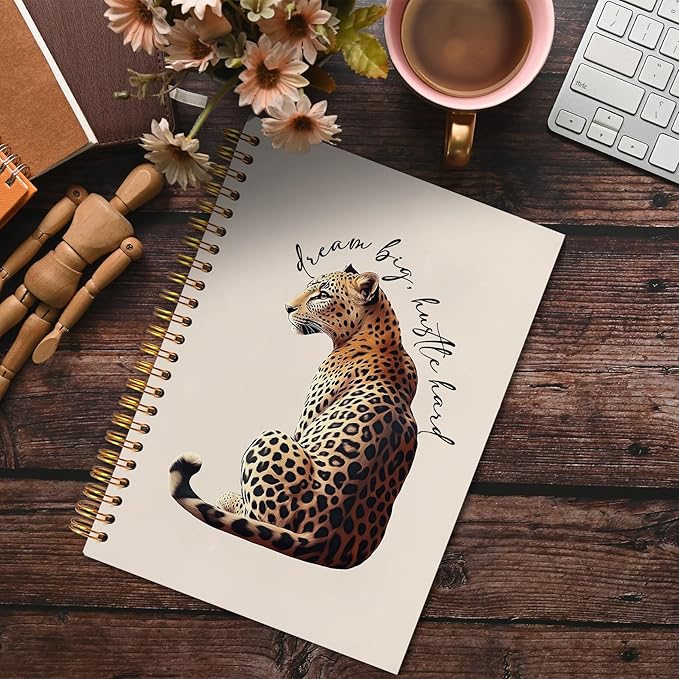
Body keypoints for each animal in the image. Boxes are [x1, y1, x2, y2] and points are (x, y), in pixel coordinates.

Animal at [169, 264, 418, 569]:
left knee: (256, 517)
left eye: (322, 295)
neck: (384, 337)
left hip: (271, 438)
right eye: (309, 287)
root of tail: (322, 539)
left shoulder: (303, 427)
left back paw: (227, 499)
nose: (287, 307)